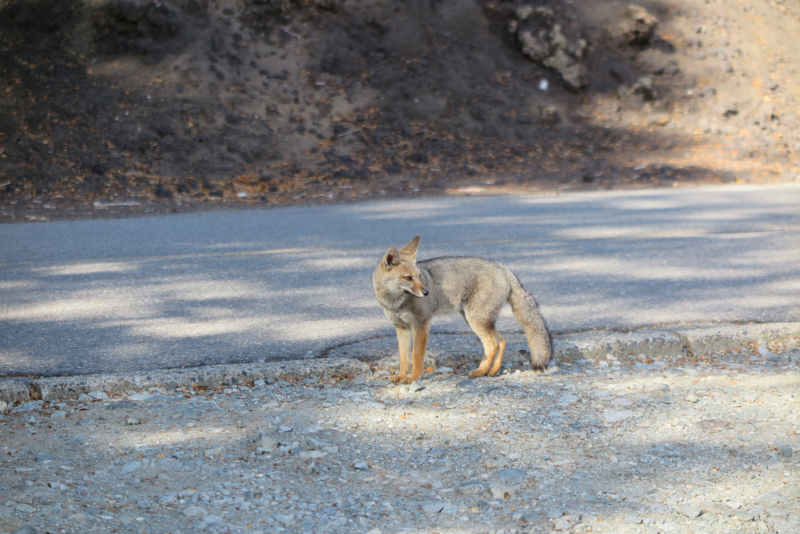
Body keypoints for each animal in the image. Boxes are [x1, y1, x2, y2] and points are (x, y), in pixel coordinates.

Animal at [374, 237, 552, 384]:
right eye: (408, 278)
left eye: (419, 276)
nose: (426, 292)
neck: (395, 302)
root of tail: (503, 267)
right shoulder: (402, 328)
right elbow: (404, 358)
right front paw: (401, 375)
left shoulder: (422, 324)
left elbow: (416, 357)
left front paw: (412, 378)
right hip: (475, 320)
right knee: (502, 341)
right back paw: (491, 371)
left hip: (475, 320)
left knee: (492, 345)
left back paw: (481, 370)